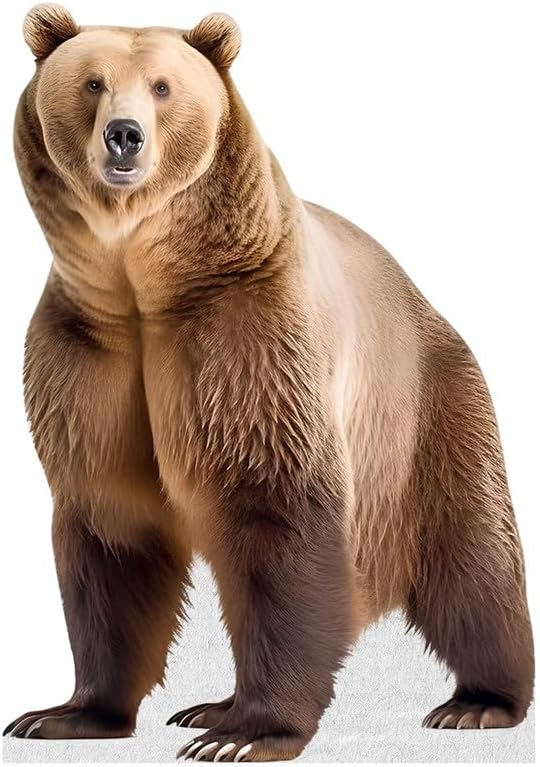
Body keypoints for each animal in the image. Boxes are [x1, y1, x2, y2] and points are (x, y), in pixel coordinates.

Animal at [4, 3, 534, 762]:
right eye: (92, 82)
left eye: (163, 87)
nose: (124, 134)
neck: (143, 283)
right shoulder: (86, 352)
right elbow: (109, 525)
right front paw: (68, 712)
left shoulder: (248, 334)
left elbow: (276, 507)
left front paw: (248, 733)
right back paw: (206, 704)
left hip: (426, 417)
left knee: (472, 557)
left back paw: (479, 701)